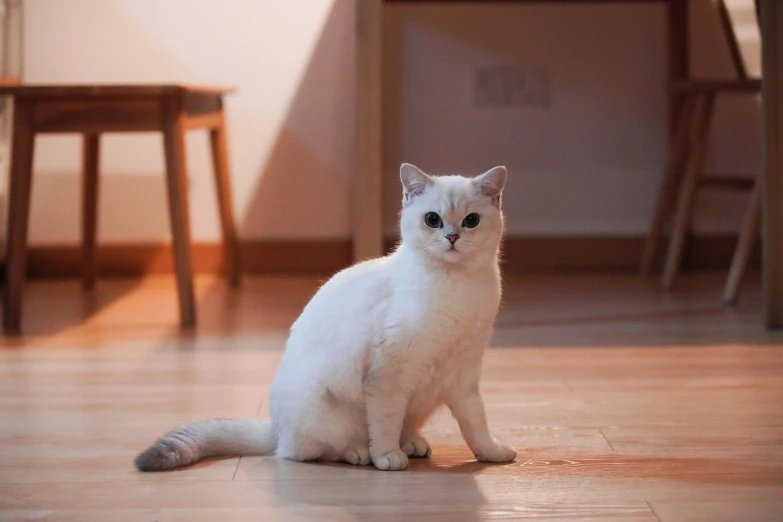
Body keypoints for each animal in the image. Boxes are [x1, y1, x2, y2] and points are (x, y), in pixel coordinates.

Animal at [135, 164, 516, 472]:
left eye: (471, 221)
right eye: (432, 219)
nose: (452, 236)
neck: (457, 287)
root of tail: (275, 428)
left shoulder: (464, 377)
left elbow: (476, 424)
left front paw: (492, 454)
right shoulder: (387, 378)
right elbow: (385, 425)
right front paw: (386, 458)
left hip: (420, 401)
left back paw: (412, 444)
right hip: (326, 410)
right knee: (307, 451)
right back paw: (362, 452)